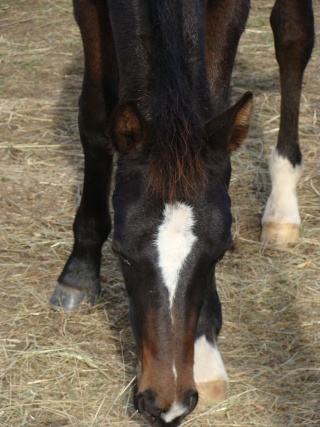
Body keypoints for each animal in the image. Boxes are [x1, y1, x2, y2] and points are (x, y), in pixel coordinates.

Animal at [49, 1, 312, 426]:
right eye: (121, 254)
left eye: (221, 253)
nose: (166, 404)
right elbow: (95, 120)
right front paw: (79, 270)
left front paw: (205, 350)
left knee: (293, 34)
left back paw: (282, 206)